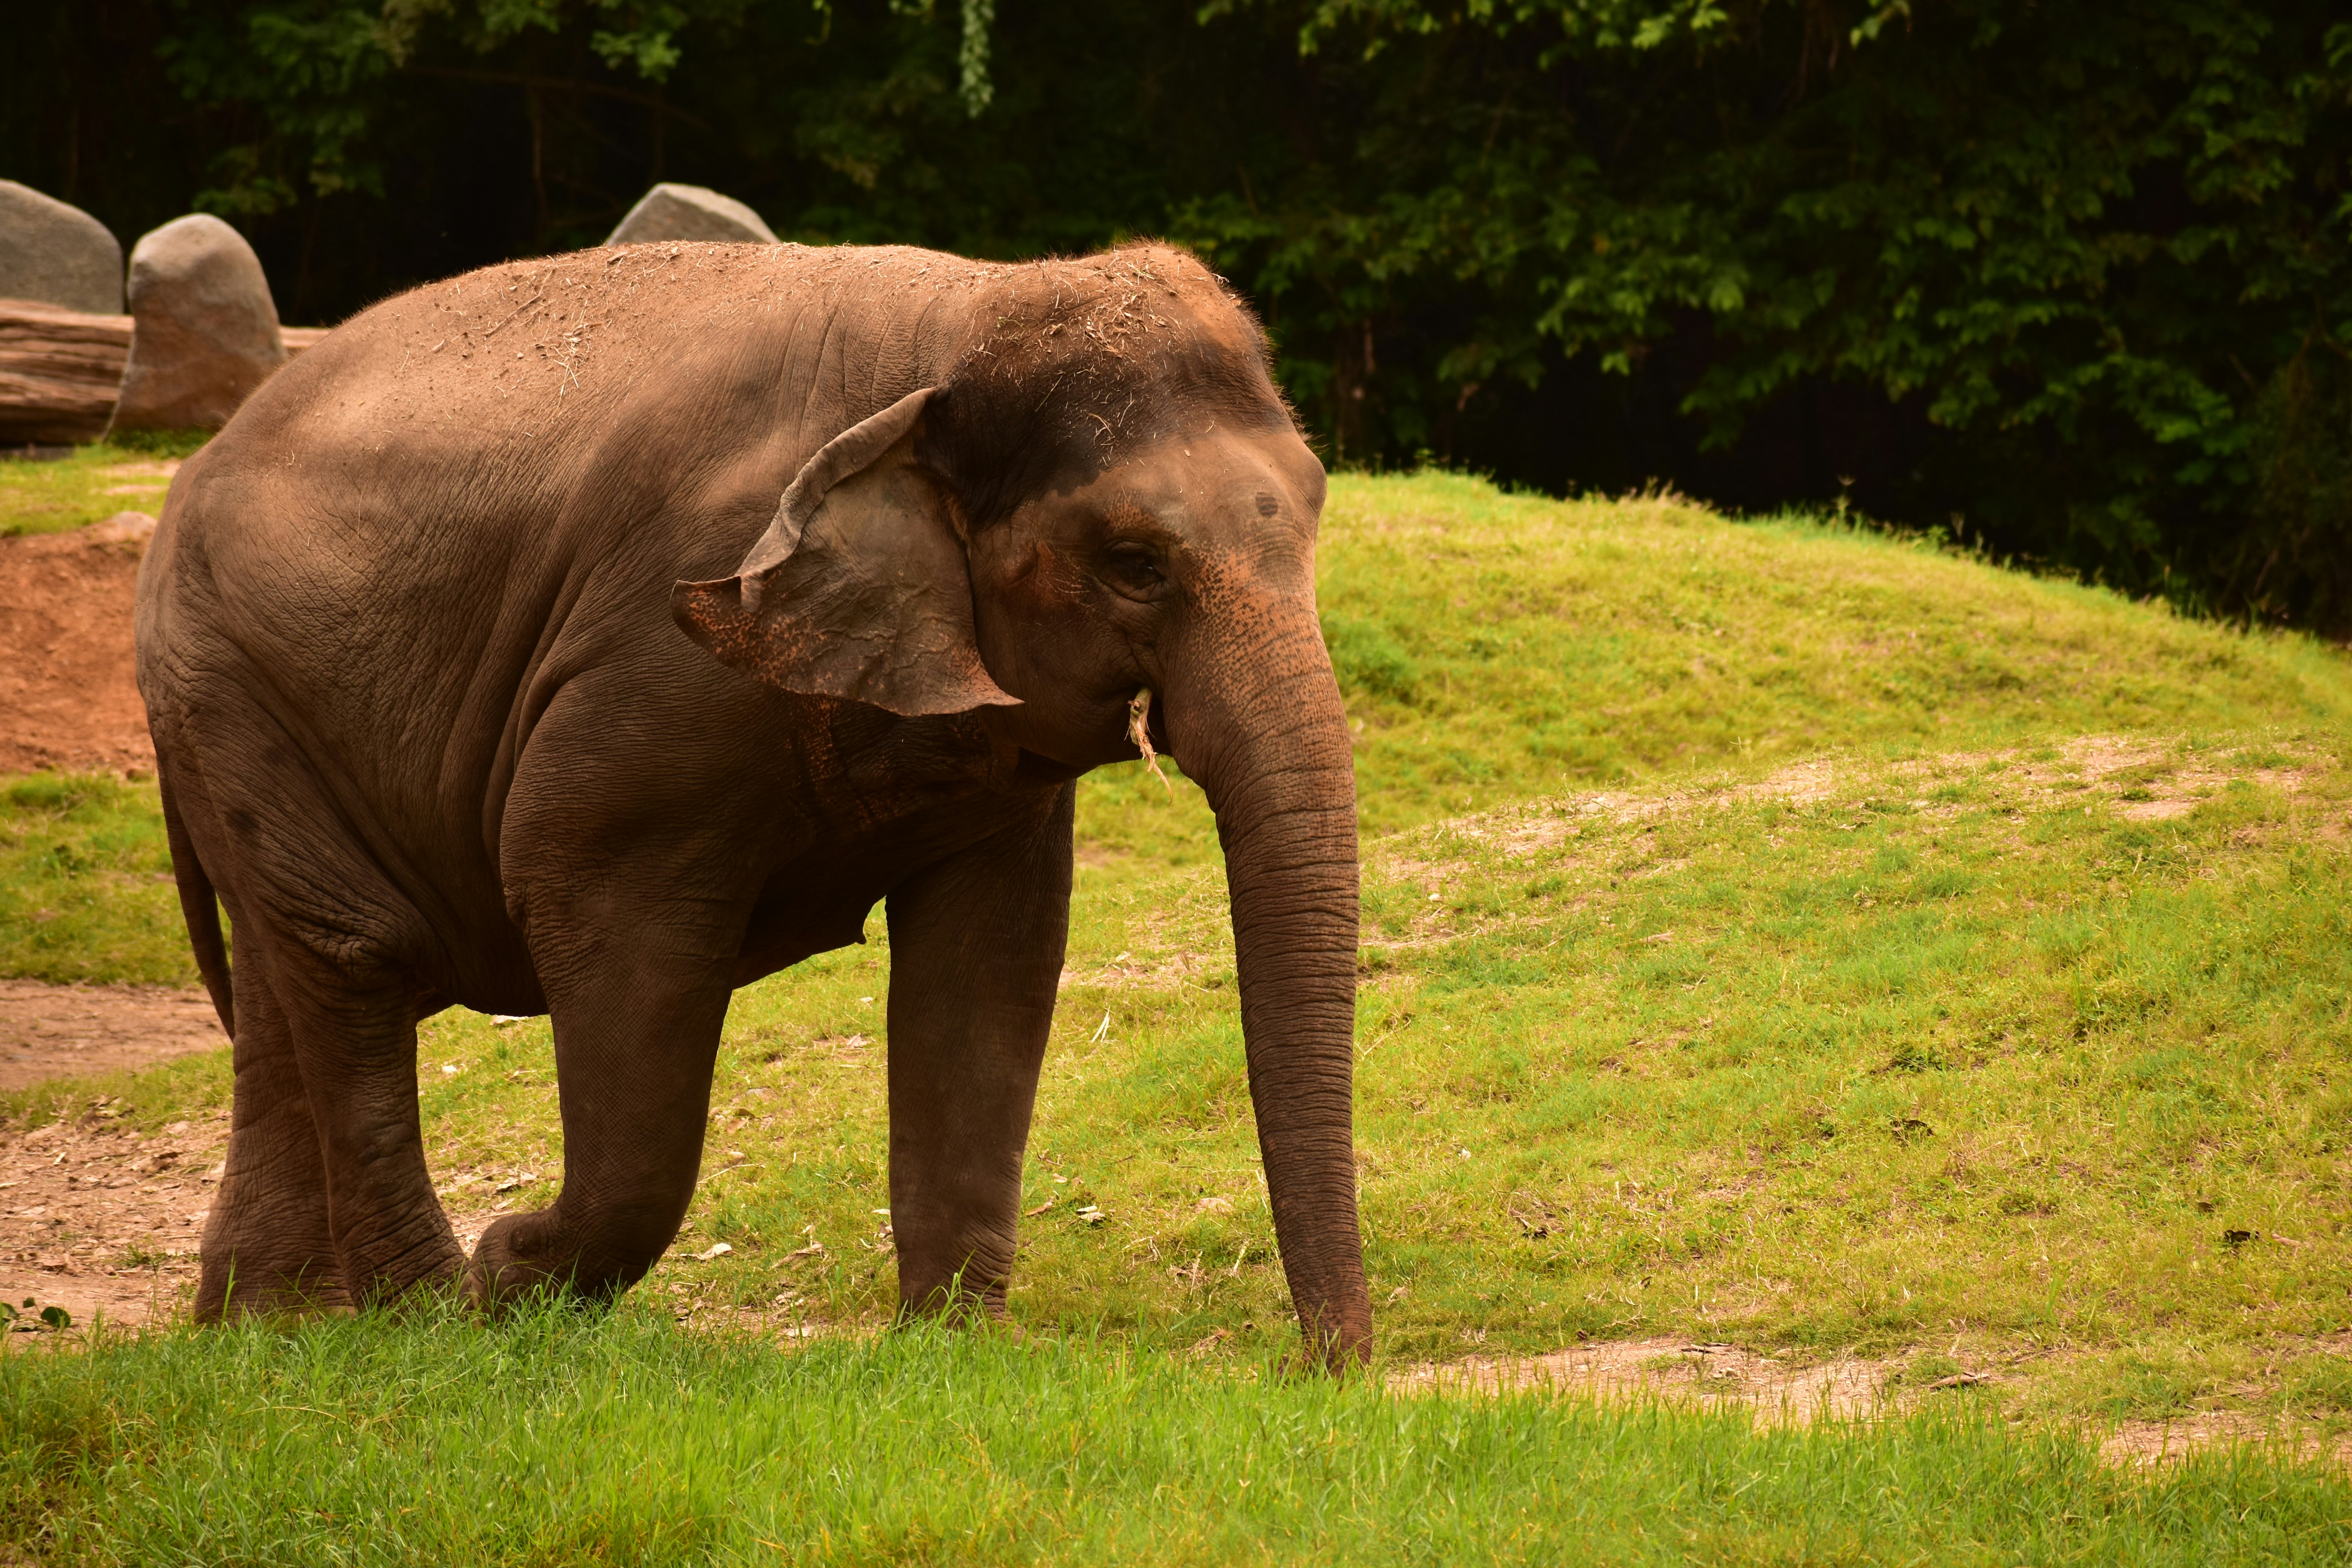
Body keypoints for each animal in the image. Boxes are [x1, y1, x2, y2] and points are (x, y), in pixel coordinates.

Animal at [134, 239, 1372, 1365]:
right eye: (1133, 563)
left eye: (1318, 510)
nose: (1327, 1371)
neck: (958, 320)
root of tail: (195, 465)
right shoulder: (657, 669)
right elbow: (581, 891)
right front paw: (511, 1280)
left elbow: (995, 959)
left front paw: (954, 1354)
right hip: (225, 683)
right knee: (355, 954)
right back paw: (426, 1322)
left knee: (289, 979)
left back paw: (273, 1330)